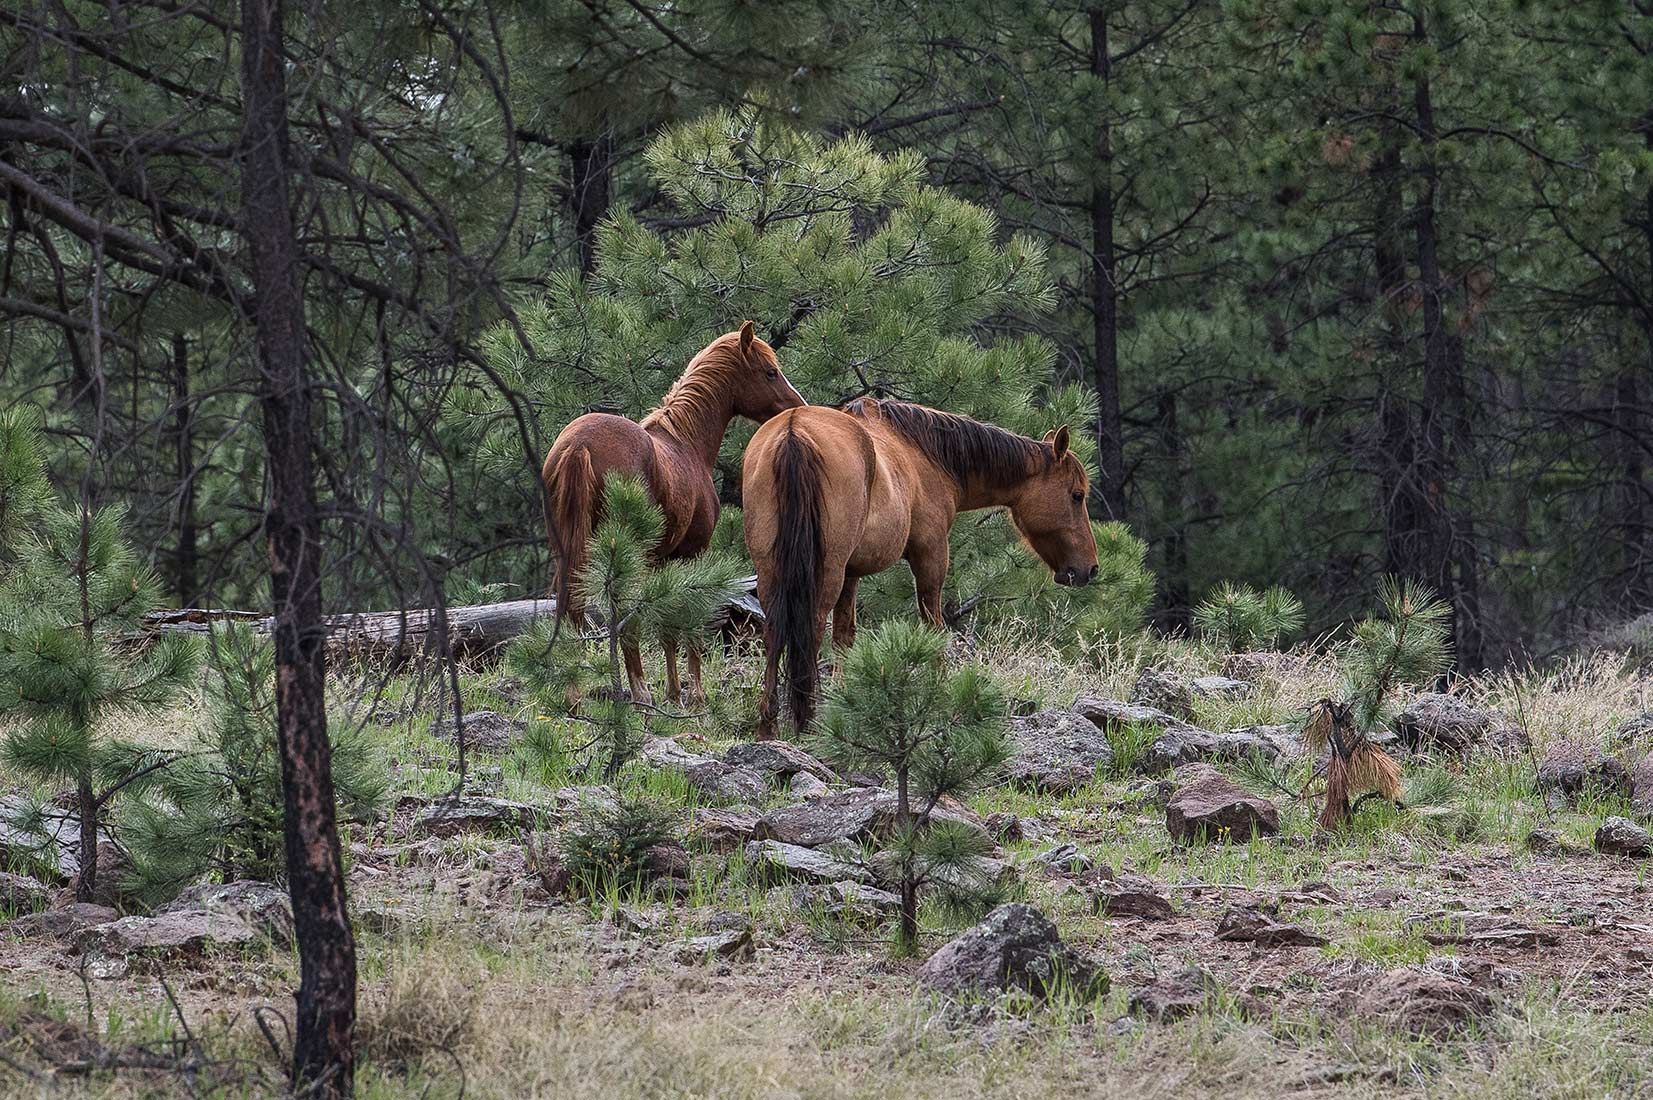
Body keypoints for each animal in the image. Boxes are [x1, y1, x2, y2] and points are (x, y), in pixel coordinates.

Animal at [542, 322, 804, 705]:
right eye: (770, 371)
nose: (798, 408)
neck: (686, 444)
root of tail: (579, 445)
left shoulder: (660, 562)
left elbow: (666, 624)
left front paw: (674, 690)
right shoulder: (693, 554)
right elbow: (687, 617)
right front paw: (694, 692)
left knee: (571, 610)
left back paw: (575, 692)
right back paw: (639, 693)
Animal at [742, 397, 1100, 739]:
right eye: (1076, 495)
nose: (1090, 569)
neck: (924, 456)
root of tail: (794, 430)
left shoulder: (851, 573)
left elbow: (844, 637)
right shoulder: (930, 555)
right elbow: (933, 628)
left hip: (774, 570)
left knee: (775, 629)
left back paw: (768, 726)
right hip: (825, 571)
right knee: (811, 627)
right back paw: (806, 721)